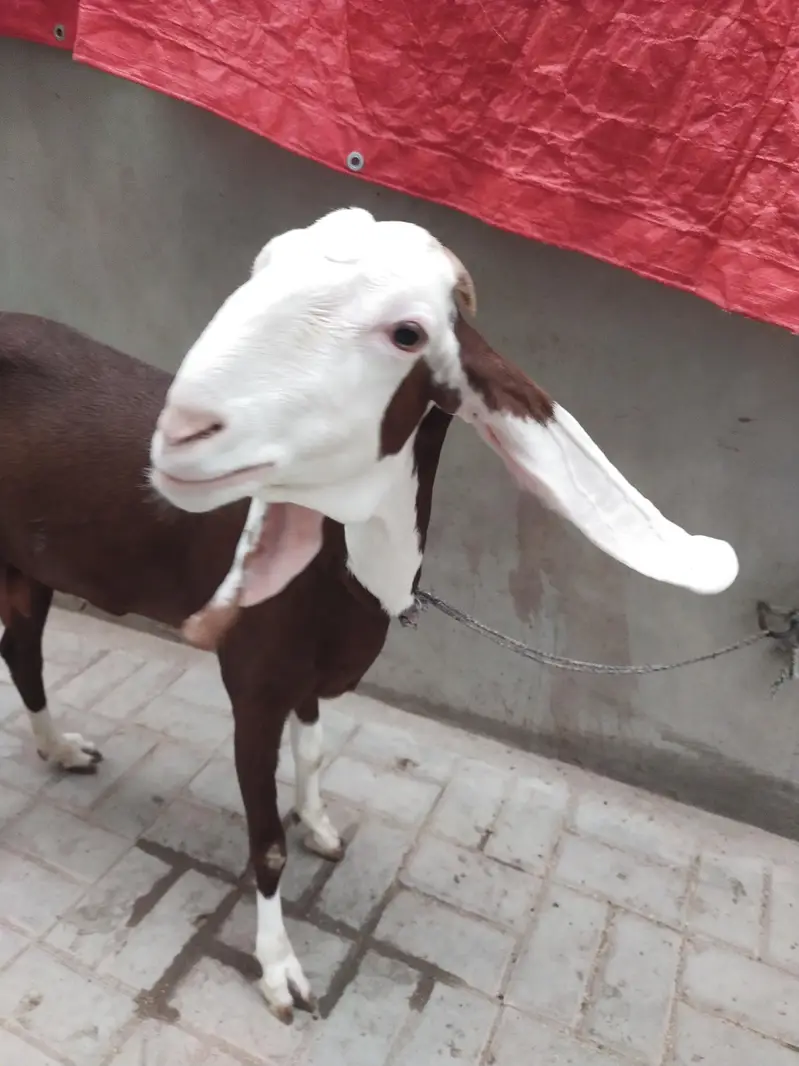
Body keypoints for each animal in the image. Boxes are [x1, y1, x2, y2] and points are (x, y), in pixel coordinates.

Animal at [0, 209, 737, 1024]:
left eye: (408, 334)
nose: (185, 430)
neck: (347, 573)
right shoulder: (255, 680)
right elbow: (266, 844)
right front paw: (280, 970)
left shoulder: (311, 674)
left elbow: (315, 754)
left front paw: (319, 823)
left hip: (27, 563)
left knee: (21, 647)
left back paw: (60, 749)